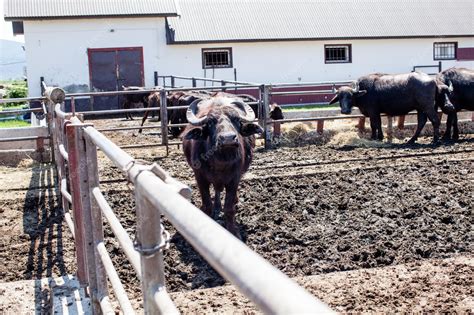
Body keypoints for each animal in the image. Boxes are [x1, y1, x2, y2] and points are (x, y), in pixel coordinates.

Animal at [181, 97, 262, 239]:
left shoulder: (235, 178)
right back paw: (217, 207)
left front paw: (233, 231)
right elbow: (207, 205)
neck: (220, 163)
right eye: (210, 122)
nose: (228, 139)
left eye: (237, 120)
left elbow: (229, 208)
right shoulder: (199, 177)